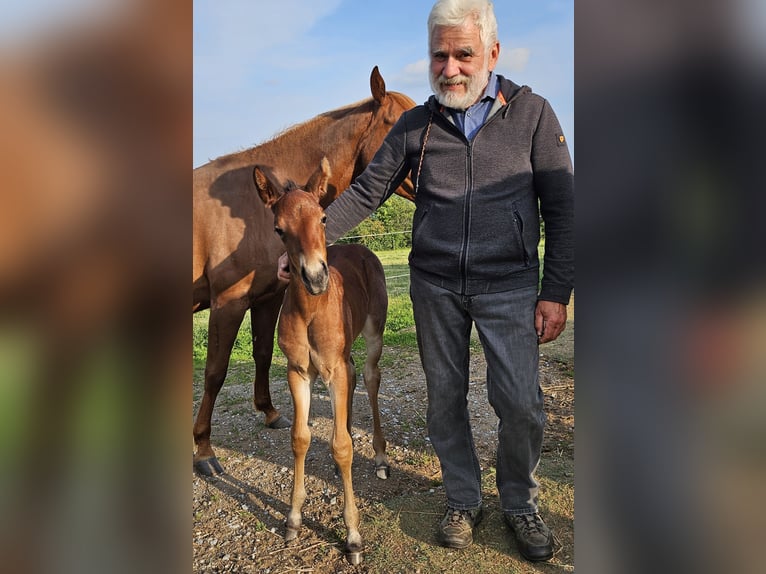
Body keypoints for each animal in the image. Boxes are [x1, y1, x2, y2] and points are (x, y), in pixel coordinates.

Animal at [193, 67, 415, 475]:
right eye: (398, 124)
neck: (250, 207)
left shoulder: (267, 297)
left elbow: (263, 353)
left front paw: (269, 412)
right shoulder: (229, 301)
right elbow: (215, 372)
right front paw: (203, 450)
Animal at [254, 157, 389, 565]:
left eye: (324, 217)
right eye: (279, 229)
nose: (315, 277)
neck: (311, 310)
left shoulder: (333, 371)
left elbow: (342, 446)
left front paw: (353, 537)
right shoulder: (299, 373)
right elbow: (300, 438)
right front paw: (293, 520)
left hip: (373, 335)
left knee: (370, 377)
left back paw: (380, 456)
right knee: (354, 380)